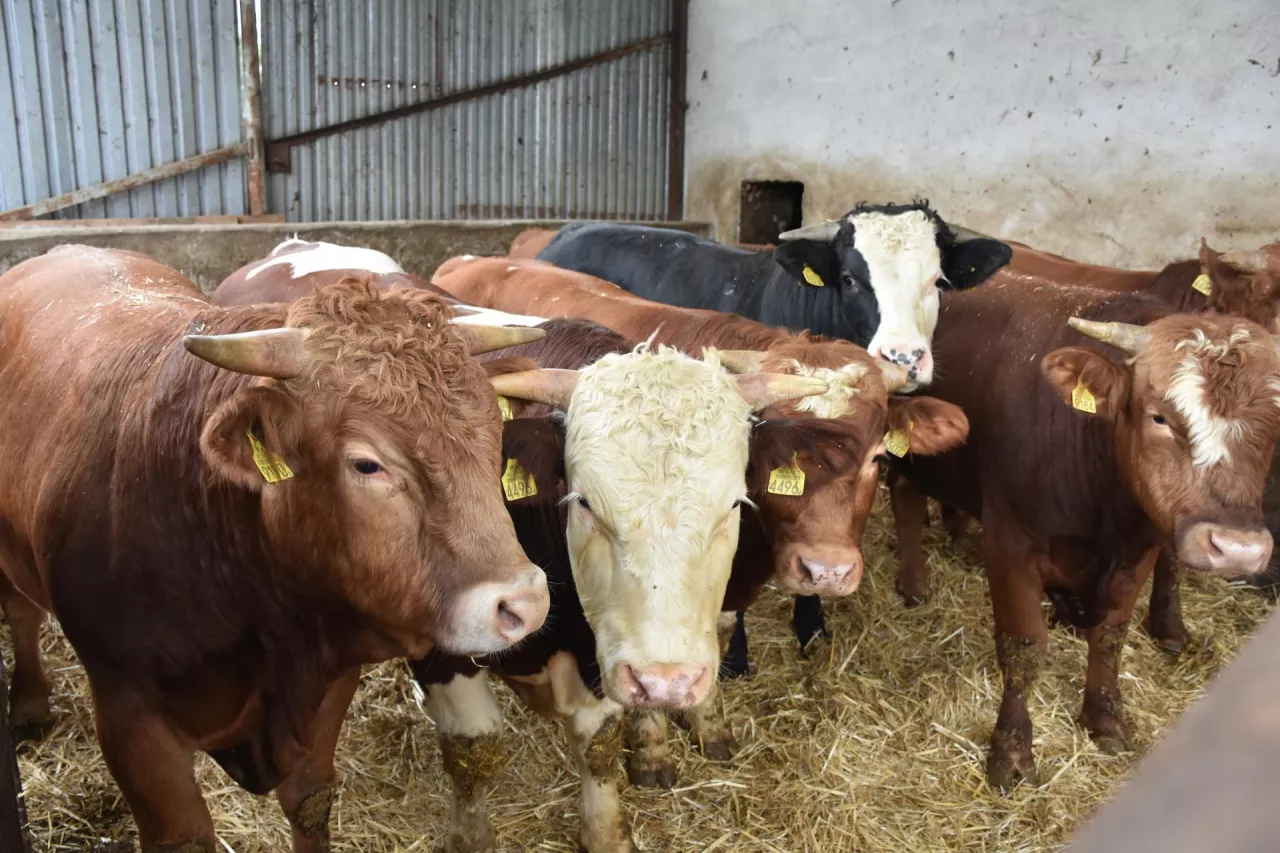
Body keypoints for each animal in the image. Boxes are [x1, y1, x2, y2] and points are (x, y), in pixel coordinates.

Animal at [0, 244, 545, 850]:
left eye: (494, 439)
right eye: (366, 464)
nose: (525, 603)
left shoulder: (324, 695)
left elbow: (309, 803)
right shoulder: (132, 723)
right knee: (20, 613)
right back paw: (28, 703)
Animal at [885, 275, 1280, 788]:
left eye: (1274, 425)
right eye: (1158, 416)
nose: (1236, 548)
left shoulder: (1139, 550)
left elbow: (1111, 636)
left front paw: (1105, 716)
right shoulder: (1010, 543)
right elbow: (1024, 646)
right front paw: (1011, 752)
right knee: (903, 496)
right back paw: (914, 584)